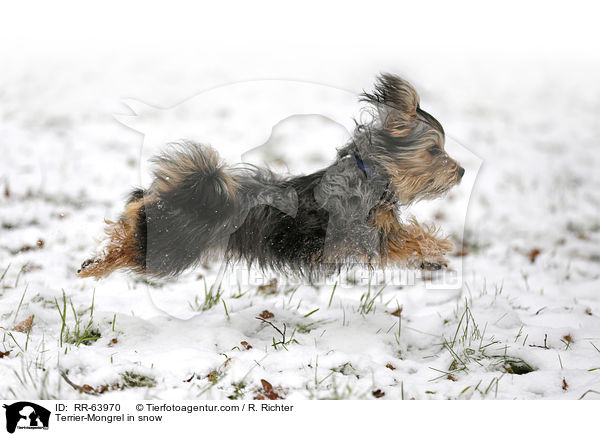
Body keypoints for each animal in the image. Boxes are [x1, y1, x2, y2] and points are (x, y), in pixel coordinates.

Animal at [78, 73, 464, 282]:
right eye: (434, 150)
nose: (460, 170)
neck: (369, 172)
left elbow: (406, 239)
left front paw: (433, 257)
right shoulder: (359, 233)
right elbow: (406, 238)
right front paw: (437, 246)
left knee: (134, 213)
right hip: (174, 247)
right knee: (132, 247)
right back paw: (96, 265)